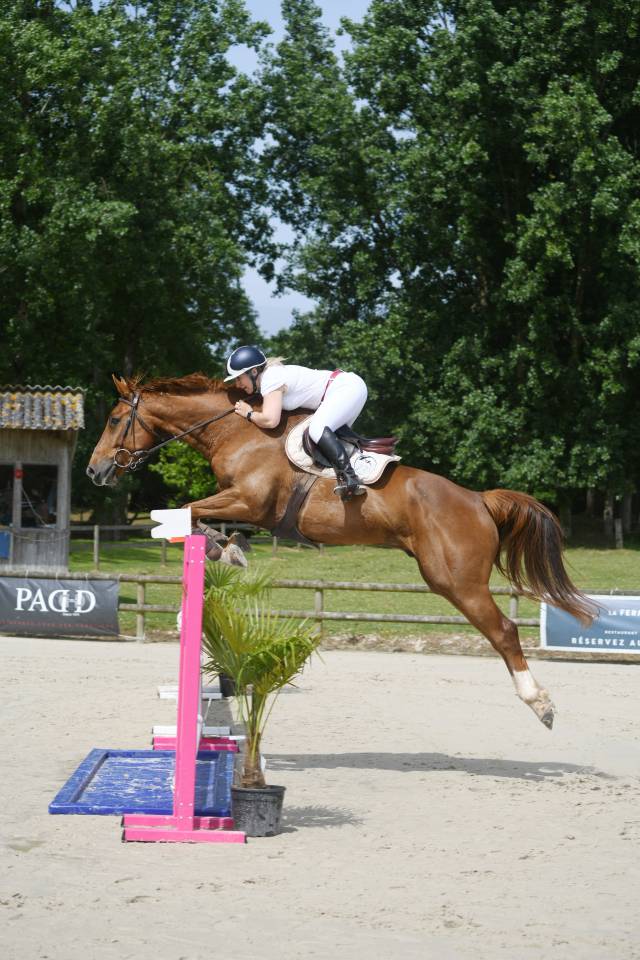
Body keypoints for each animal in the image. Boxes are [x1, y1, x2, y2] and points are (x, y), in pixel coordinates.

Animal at [87, 372, 597, 730]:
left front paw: (221, 553)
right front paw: (227, 549)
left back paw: (540, 703)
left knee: (505, 631)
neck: (238, 432)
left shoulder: (249, 501)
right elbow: (195, 517)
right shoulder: (240, 505)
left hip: (457, 581)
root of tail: (478, 499)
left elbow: (185, 510)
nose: (95, 472)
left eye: (114, 420)